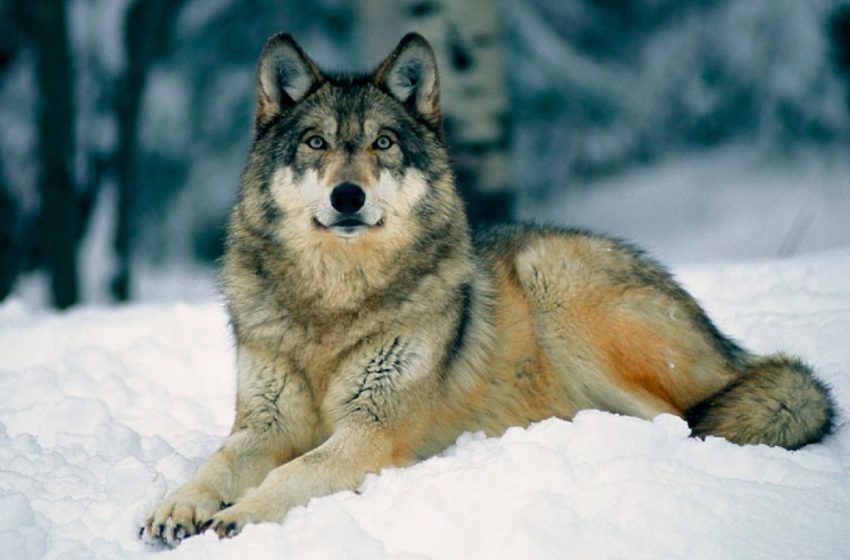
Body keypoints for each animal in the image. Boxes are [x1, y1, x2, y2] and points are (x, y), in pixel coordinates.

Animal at [142, 32, 836, 545]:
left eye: (382, 143)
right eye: (317, 143)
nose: (348, 196)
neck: (334, 302)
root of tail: (730, 347)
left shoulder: (371, 430)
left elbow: (294, 472)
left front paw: (237, 515)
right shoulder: (263, 424)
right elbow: (217, 464)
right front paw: (177, 506)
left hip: (558, 285)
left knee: (680, 421)